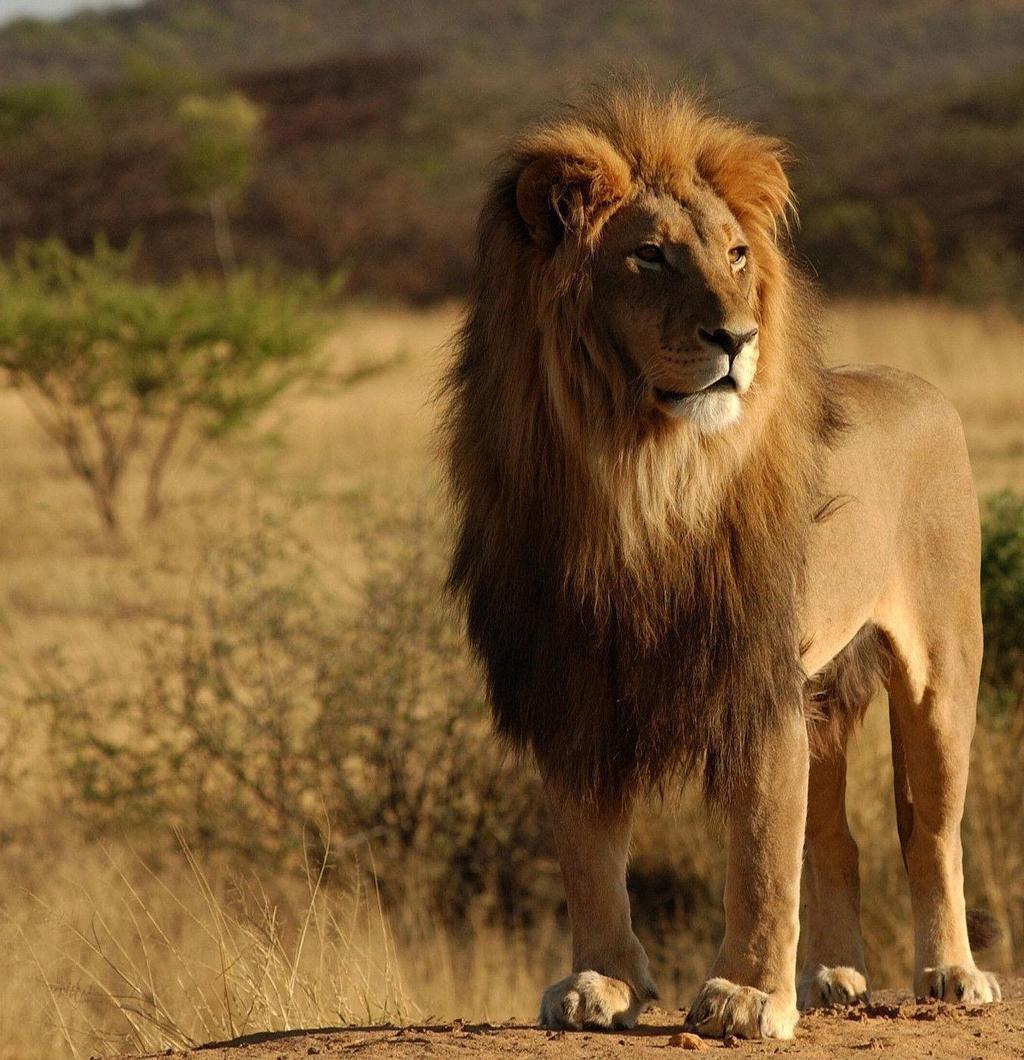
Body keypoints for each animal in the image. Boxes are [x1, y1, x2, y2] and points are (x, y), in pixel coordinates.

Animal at [438, 84, 1000, 1043]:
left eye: (737, 254)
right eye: (650, 256)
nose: (737, 337)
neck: (640, 476)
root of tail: (921, 386)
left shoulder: (755, 674)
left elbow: (762, 853)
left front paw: (745, 995)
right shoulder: (573, 677)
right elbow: (589, 853)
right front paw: (602, 983)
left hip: (942, 669)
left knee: (930, 832)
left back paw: (952, 974)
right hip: (826, 692)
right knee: (838, 837)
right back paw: (833, 977)